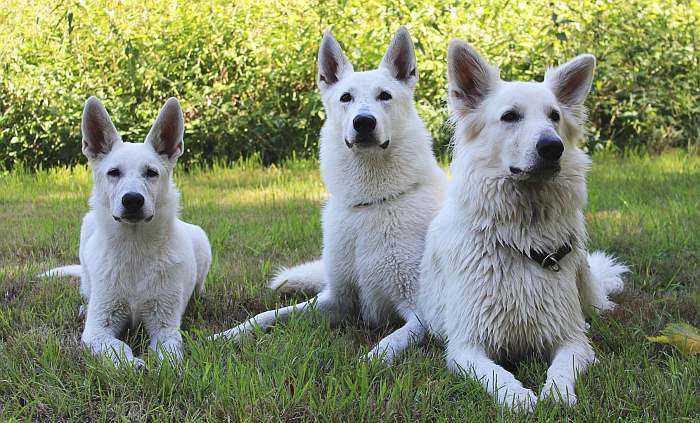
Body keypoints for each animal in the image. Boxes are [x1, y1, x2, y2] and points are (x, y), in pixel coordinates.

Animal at [41, 96, 209, 368]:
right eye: (113, 172)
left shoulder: (165, 326)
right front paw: (131, 365)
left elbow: (169, 354)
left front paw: (163, 369)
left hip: (202, 241)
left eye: (151, 173)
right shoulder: (98, 329)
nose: (132, 200)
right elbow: (117, 347)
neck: (134, 248)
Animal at [211, 27, 446, 364]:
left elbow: (392, 341)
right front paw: (227, 336)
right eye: (346, 97)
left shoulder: (419, 314)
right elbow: (266, 316)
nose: (364, 122)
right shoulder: (336, 300)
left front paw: (368, 363)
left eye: (384, 96)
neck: (370, 204)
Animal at [416, 41, 628, 412]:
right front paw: (518, 397)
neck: (521, 235)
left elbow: (562, 367)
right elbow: (494, 374)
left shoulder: (572, 338)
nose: (553, 147)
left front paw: (556, 394)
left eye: (554, 116)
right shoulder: (466, 347)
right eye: (510, 117)